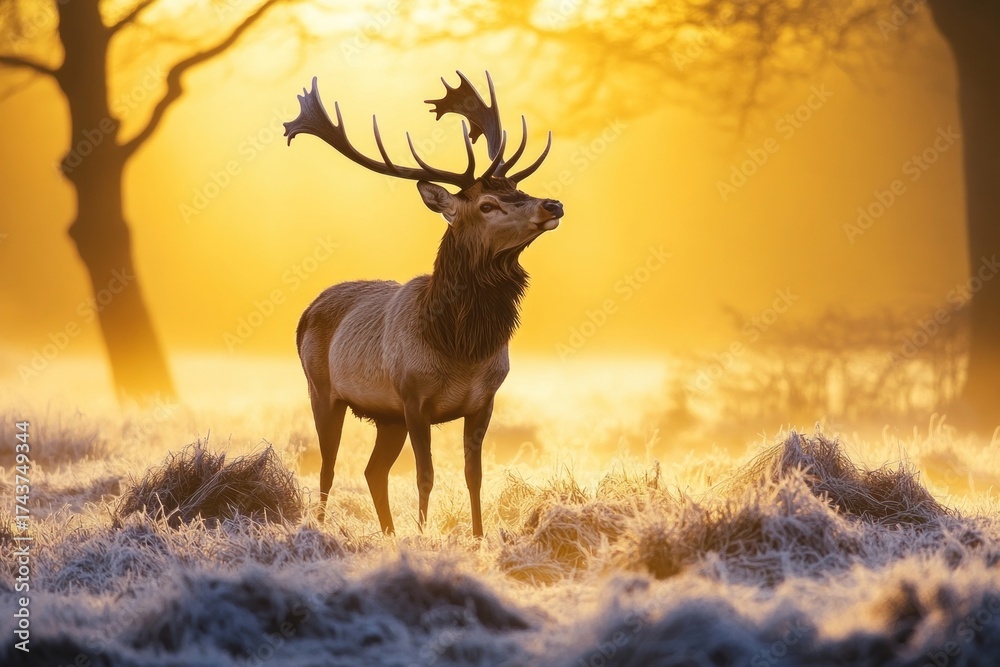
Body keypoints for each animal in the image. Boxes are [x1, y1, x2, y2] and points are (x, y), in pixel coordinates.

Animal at [284, 72, 563, 537]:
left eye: (518, 188)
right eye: (487, 204)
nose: (553, 204)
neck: (460, 346)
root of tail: (306, 311)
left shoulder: (484, 400)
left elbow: (474, 475)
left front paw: (478, 537)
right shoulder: (413, 397)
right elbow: (425, 474)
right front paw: (422, 534)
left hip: (386, 416)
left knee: (372, 471)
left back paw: (388, 533)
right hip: (322, 390)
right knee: (328, 466)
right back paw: (322, 526)